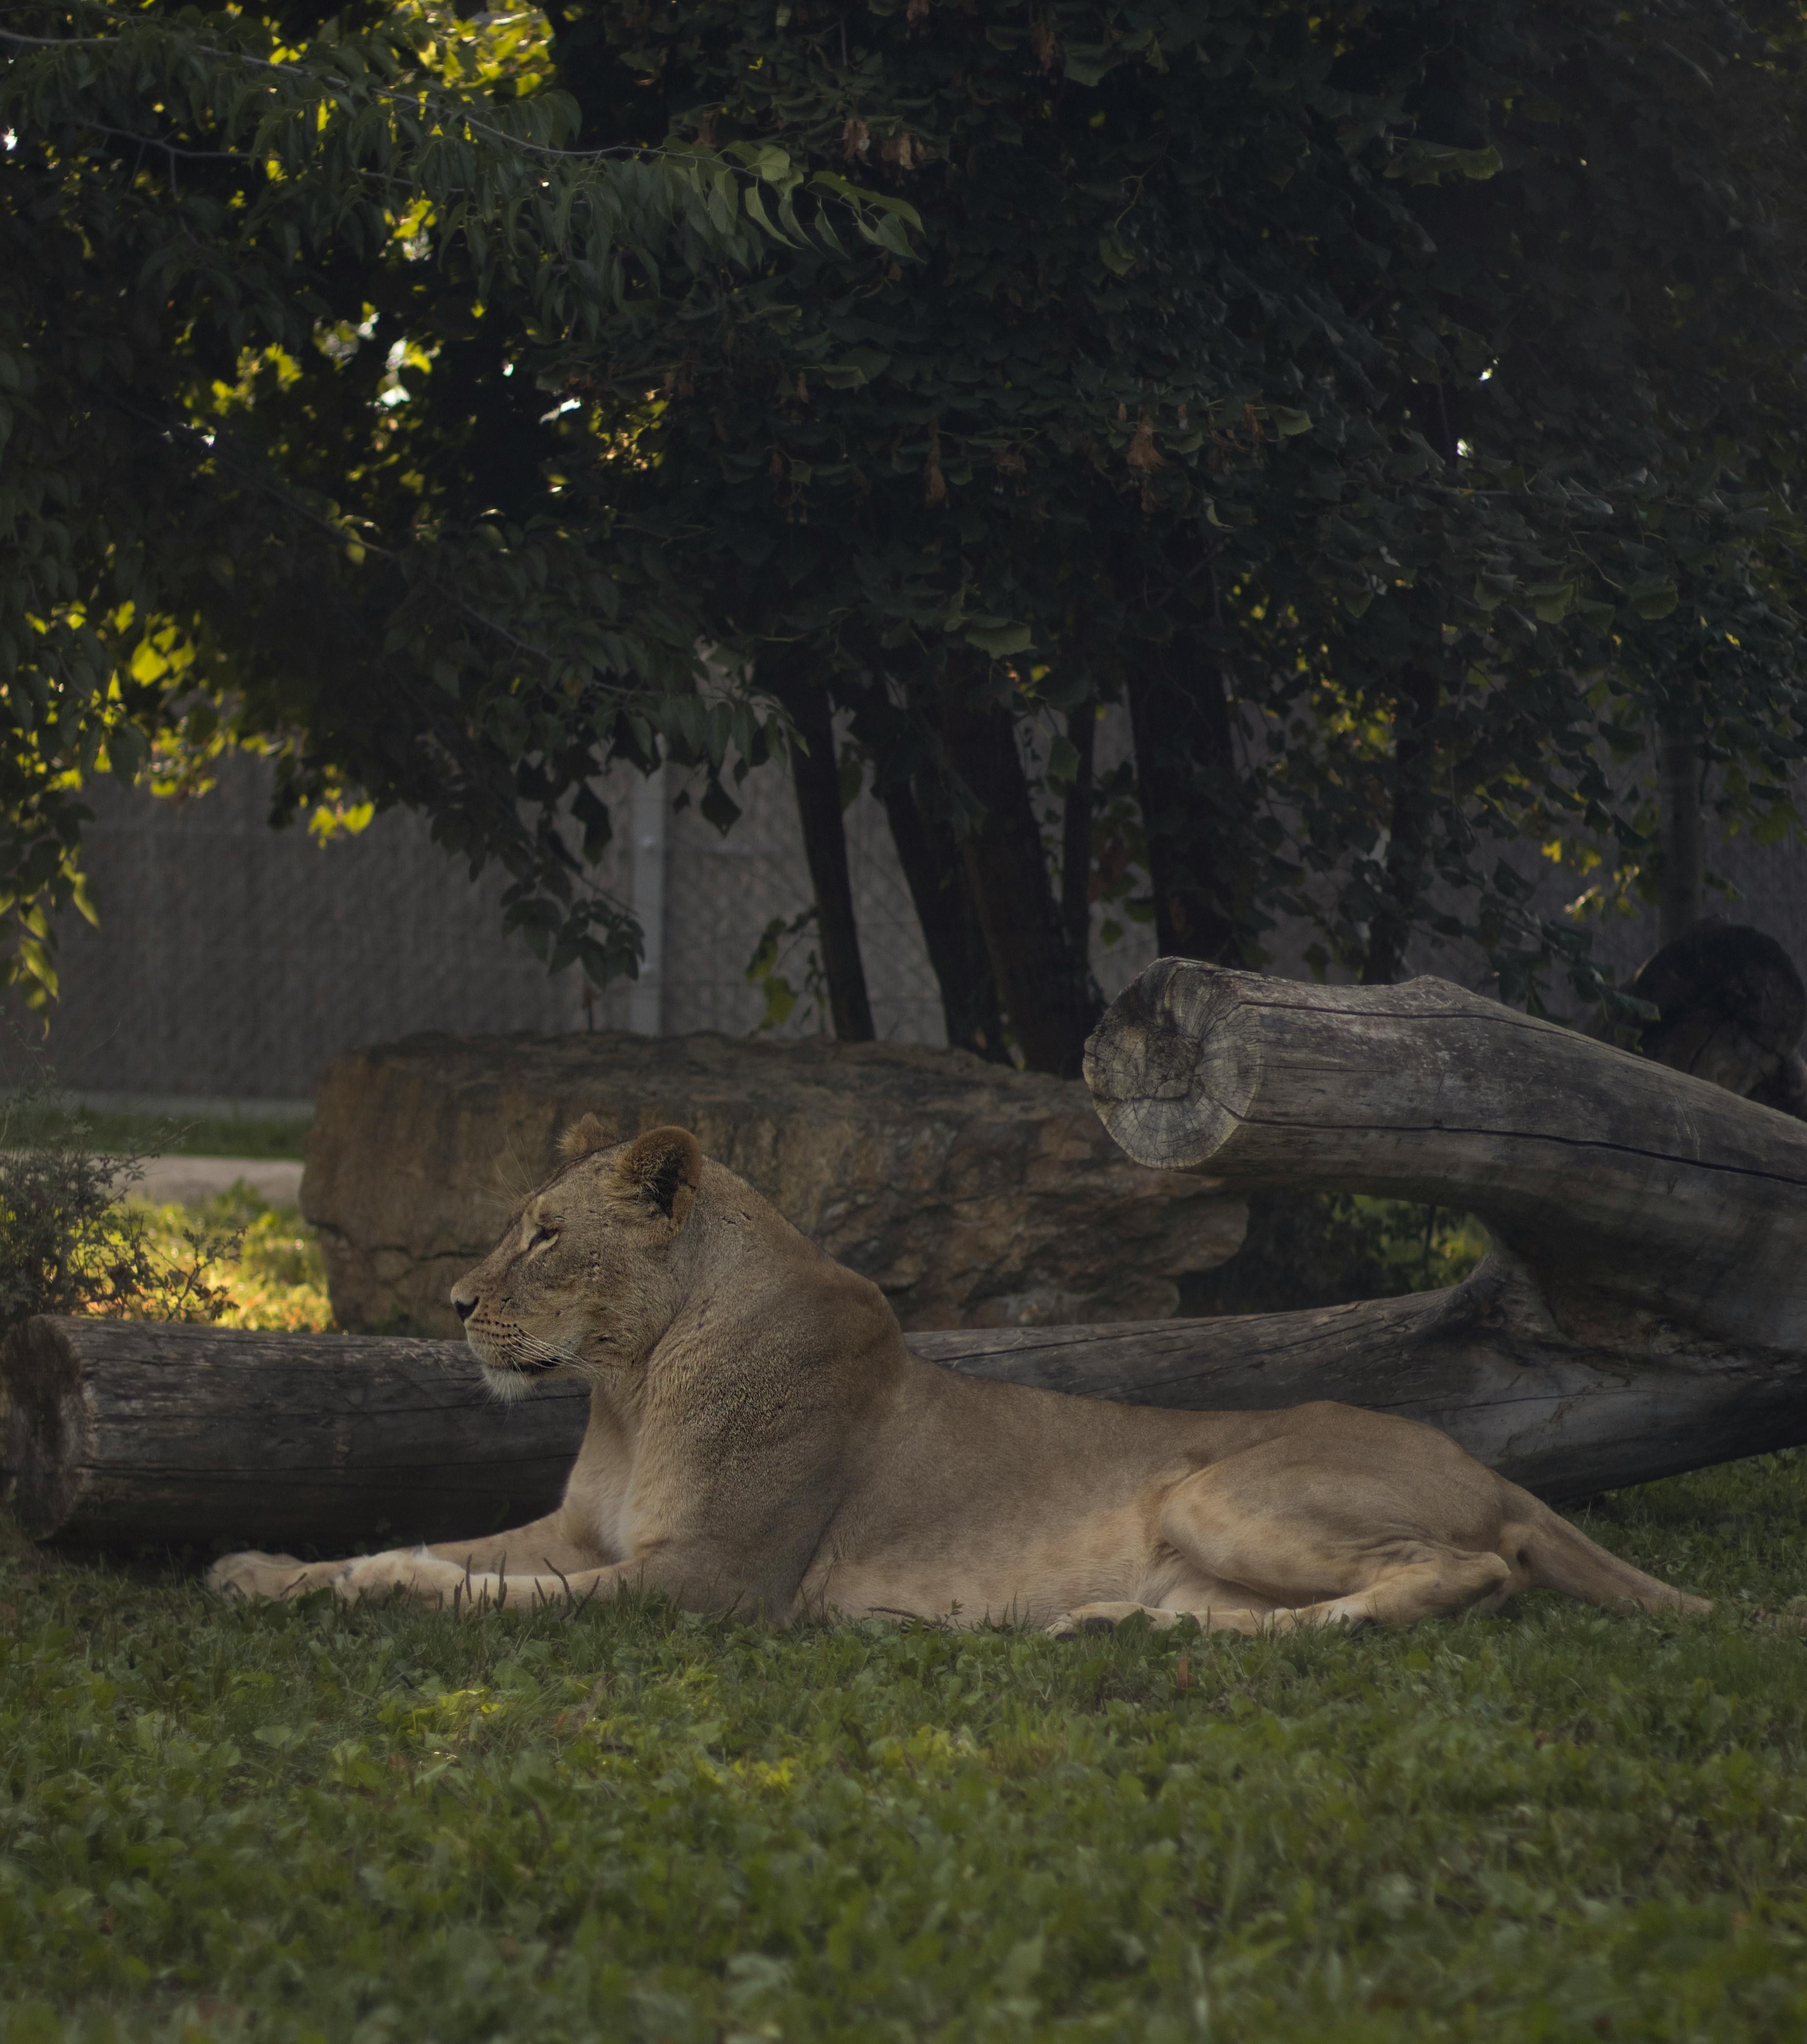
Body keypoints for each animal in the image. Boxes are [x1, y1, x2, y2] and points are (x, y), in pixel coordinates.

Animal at [209, 1121, 1711, 1634]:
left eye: (542, 1234)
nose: (456, 1305)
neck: (627, 1390)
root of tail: (1482, 1465)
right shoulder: (585, 1535)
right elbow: (418, 1545)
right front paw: (262, 1571)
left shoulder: (709, 1584)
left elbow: (458, 1585)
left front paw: (351, 1591)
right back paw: (1114, 1631)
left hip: (1222, 1493)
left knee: (1464, 1574)